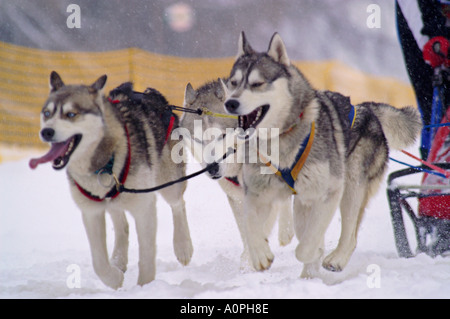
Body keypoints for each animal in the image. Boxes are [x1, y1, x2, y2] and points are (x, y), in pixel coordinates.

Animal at [29, 72, 192, 290]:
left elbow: (147, 256)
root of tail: (152, 94)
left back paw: (183, 246)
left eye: (71, 114)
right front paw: (114, 279)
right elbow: (99, 263)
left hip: (169, 183)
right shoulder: (91, 211)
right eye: (47, 113)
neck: (104, 161)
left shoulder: (144, 207)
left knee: (178, 204)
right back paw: (118, 260)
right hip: (116, 200)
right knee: (122, 225)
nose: (46, 132)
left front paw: (144, 287)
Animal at [181, 81, 294, 266]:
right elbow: (245, 228)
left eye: (222, 135)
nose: (212, 168)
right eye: (198, 139)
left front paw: (251, 260)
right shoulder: (236, 198)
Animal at [219, 32, 422, 276]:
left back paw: (335, 259)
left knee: (349, 235)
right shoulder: (256, 193)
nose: (231, 103)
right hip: (302, 203)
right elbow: (250, 224)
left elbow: (307, 245)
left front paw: (312, 252)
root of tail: (367, 109)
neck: (280, 141)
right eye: (234, 83)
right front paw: (260, 255)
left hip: (351, 187)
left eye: (257, 84)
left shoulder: (329, 192)